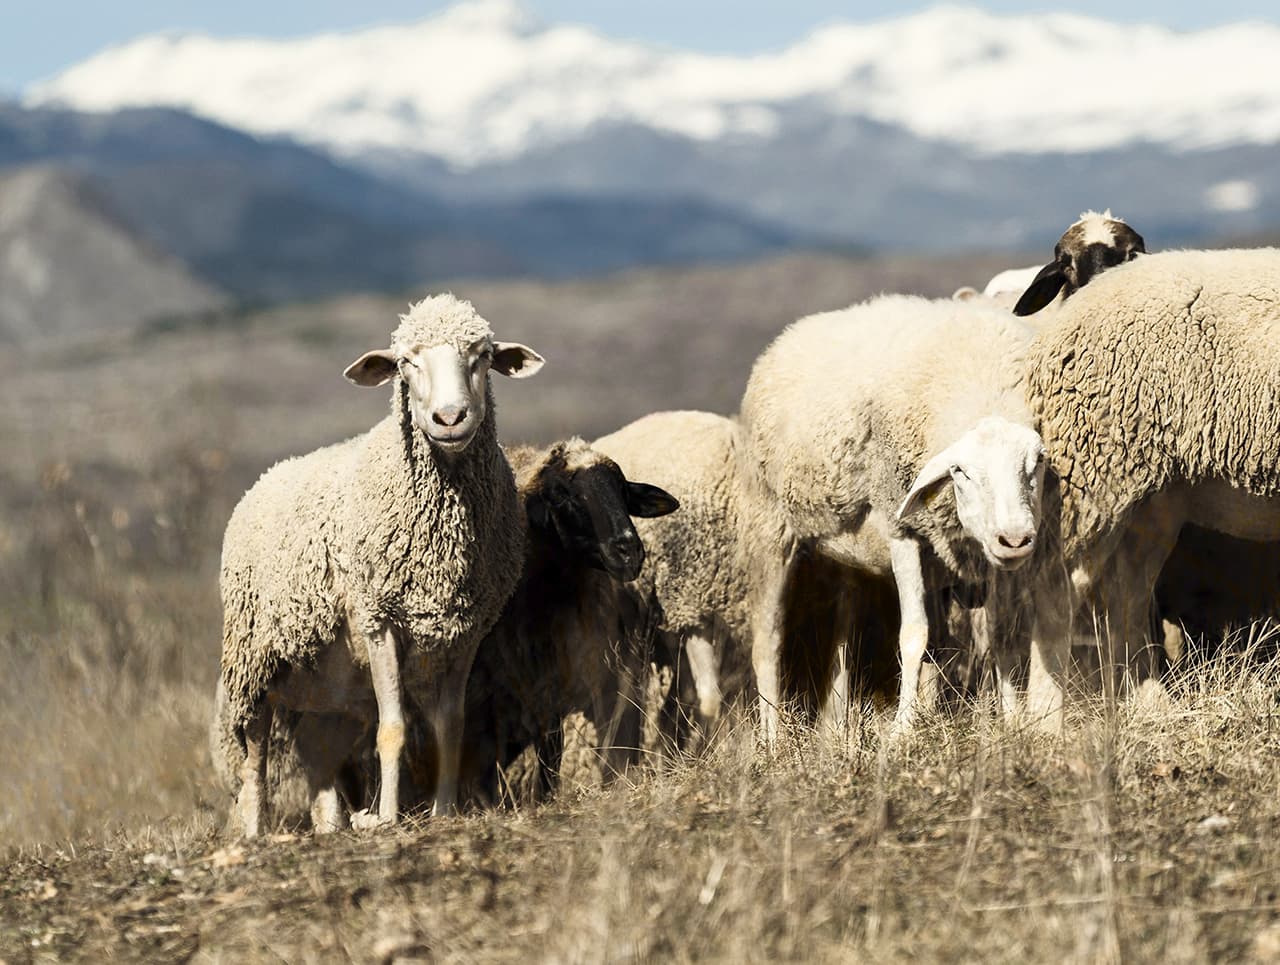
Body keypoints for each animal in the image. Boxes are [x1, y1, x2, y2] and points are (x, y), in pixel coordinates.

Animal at [218, 293, 544, 836]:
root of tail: (265, 477)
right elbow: (393, 729)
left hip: (327, 685)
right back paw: (256, 829)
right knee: (255, 750)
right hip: (253, 656)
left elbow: (449, 725)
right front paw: (391, 817)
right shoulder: (379, 619)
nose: (450, 418)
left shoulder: (464, 629)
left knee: (319, 754)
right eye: (406, 363)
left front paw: (443, 810)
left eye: (480, 356)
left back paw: (334, 823)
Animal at [738, 295, 1050, 744]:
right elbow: (914, 635)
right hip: (770, 526)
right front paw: (903, 730)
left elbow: (1001, 633)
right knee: (768, 640)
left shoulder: (983, 556)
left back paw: (838, 727)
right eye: (960, 472)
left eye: (1037, 462)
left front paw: (1012, 722)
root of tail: (784, 338)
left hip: (848, 557)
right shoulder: (901, 530)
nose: (1015, 539)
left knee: (843, 640)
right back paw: (773, 739)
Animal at [1022, 247, 1280, 726]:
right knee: (1057, 588)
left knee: (1126, 593)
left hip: (1152, 497)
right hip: (1092, 467)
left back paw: (1147, 702)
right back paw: (1046, 721)